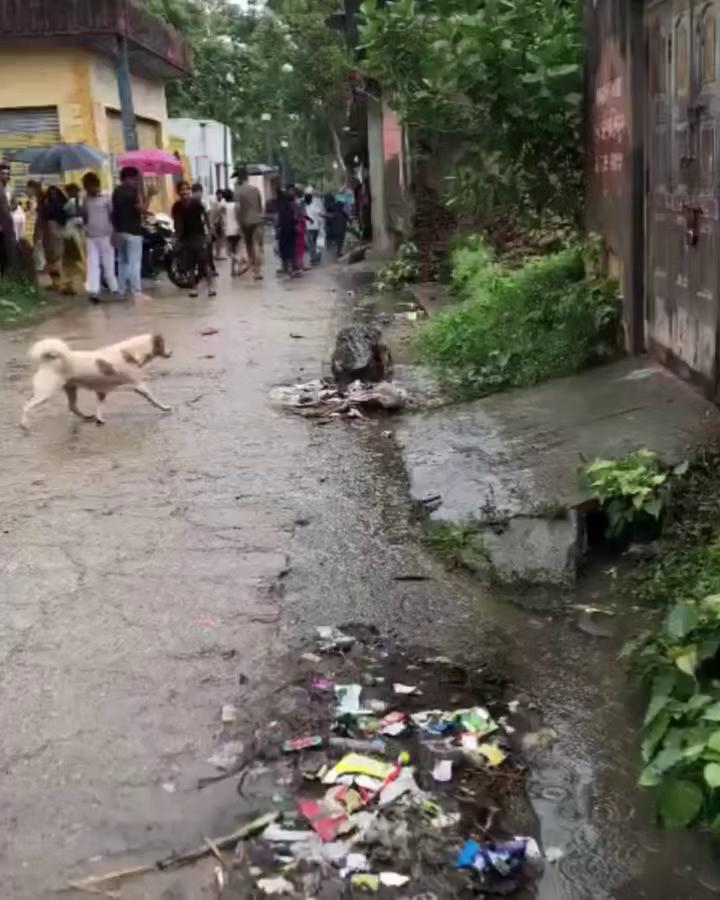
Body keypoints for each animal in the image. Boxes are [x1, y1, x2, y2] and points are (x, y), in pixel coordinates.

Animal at [21, 332, 173, 430]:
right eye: (163, 344)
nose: (171, 352)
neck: (130, 352)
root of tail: (48, 360)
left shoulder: (101, 391)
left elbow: (99, 406)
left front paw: (99, 419)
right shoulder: (138, 385)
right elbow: (153, 398)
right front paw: (165, 407)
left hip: (71, 389)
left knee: (72, 407)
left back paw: (86, 417)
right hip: (45, 393)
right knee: (26, 406)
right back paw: (24, 424)